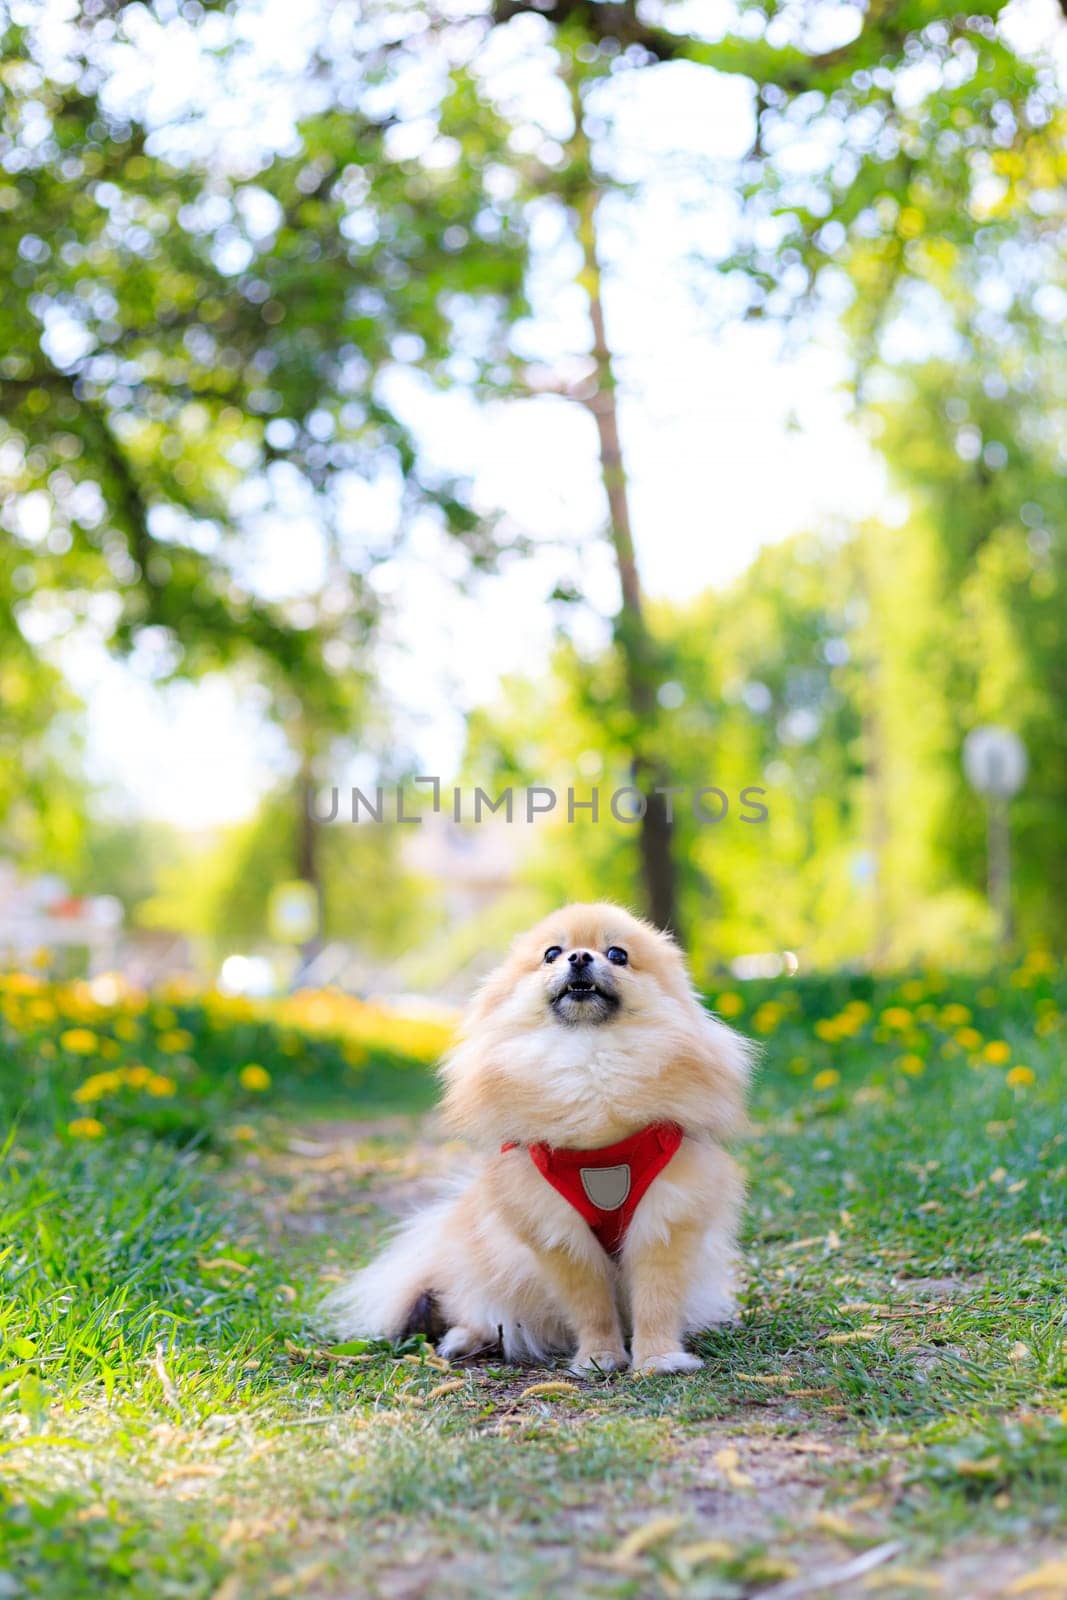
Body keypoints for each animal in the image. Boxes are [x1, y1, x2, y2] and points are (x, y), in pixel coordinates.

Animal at [321, 902, 755, 1376]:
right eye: (552, 953)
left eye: (618, 955)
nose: (580, 957)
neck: (590, 1060)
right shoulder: (556, 1231)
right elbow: (590, 1306)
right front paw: (599, 1358)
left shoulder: (664, 1218)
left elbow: (656, 1300)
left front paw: (658, 1359)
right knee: (475, 1309)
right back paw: (464, 1340)